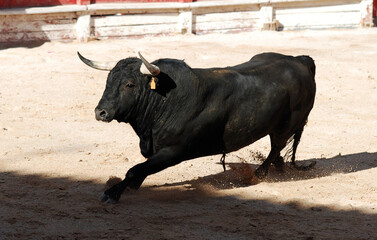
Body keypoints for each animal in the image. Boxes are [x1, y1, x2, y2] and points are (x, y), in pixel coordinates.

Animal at [76, 52, 314, 202]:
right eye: (108, 80)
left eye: (129, 84)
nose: (100, 112)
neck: (164, 99)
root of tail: (301, 61)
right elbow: (141, 169)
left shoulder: (174, 151)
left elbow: (134, 170)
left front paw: (111, 194)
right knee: (277, 149)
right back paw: (278, 168)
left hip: (287, 124)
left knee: (276, 146)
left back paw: (260, 174)